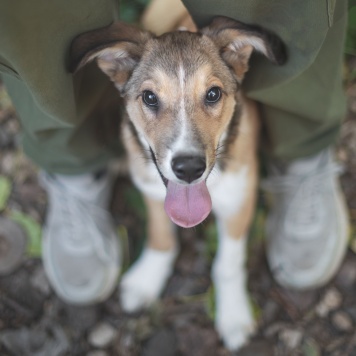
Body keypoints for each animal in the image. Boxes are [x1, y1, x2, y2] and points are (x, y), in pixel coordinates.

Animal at [69, 14, 286, 350]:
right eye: (149, 97)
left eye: (213, 94)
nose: (188, 168)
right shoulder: (151, 189)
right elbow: (160, 237)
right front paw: (147, 279)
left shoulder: (239, 198)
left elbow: (227, 264)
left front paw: (233, 314)